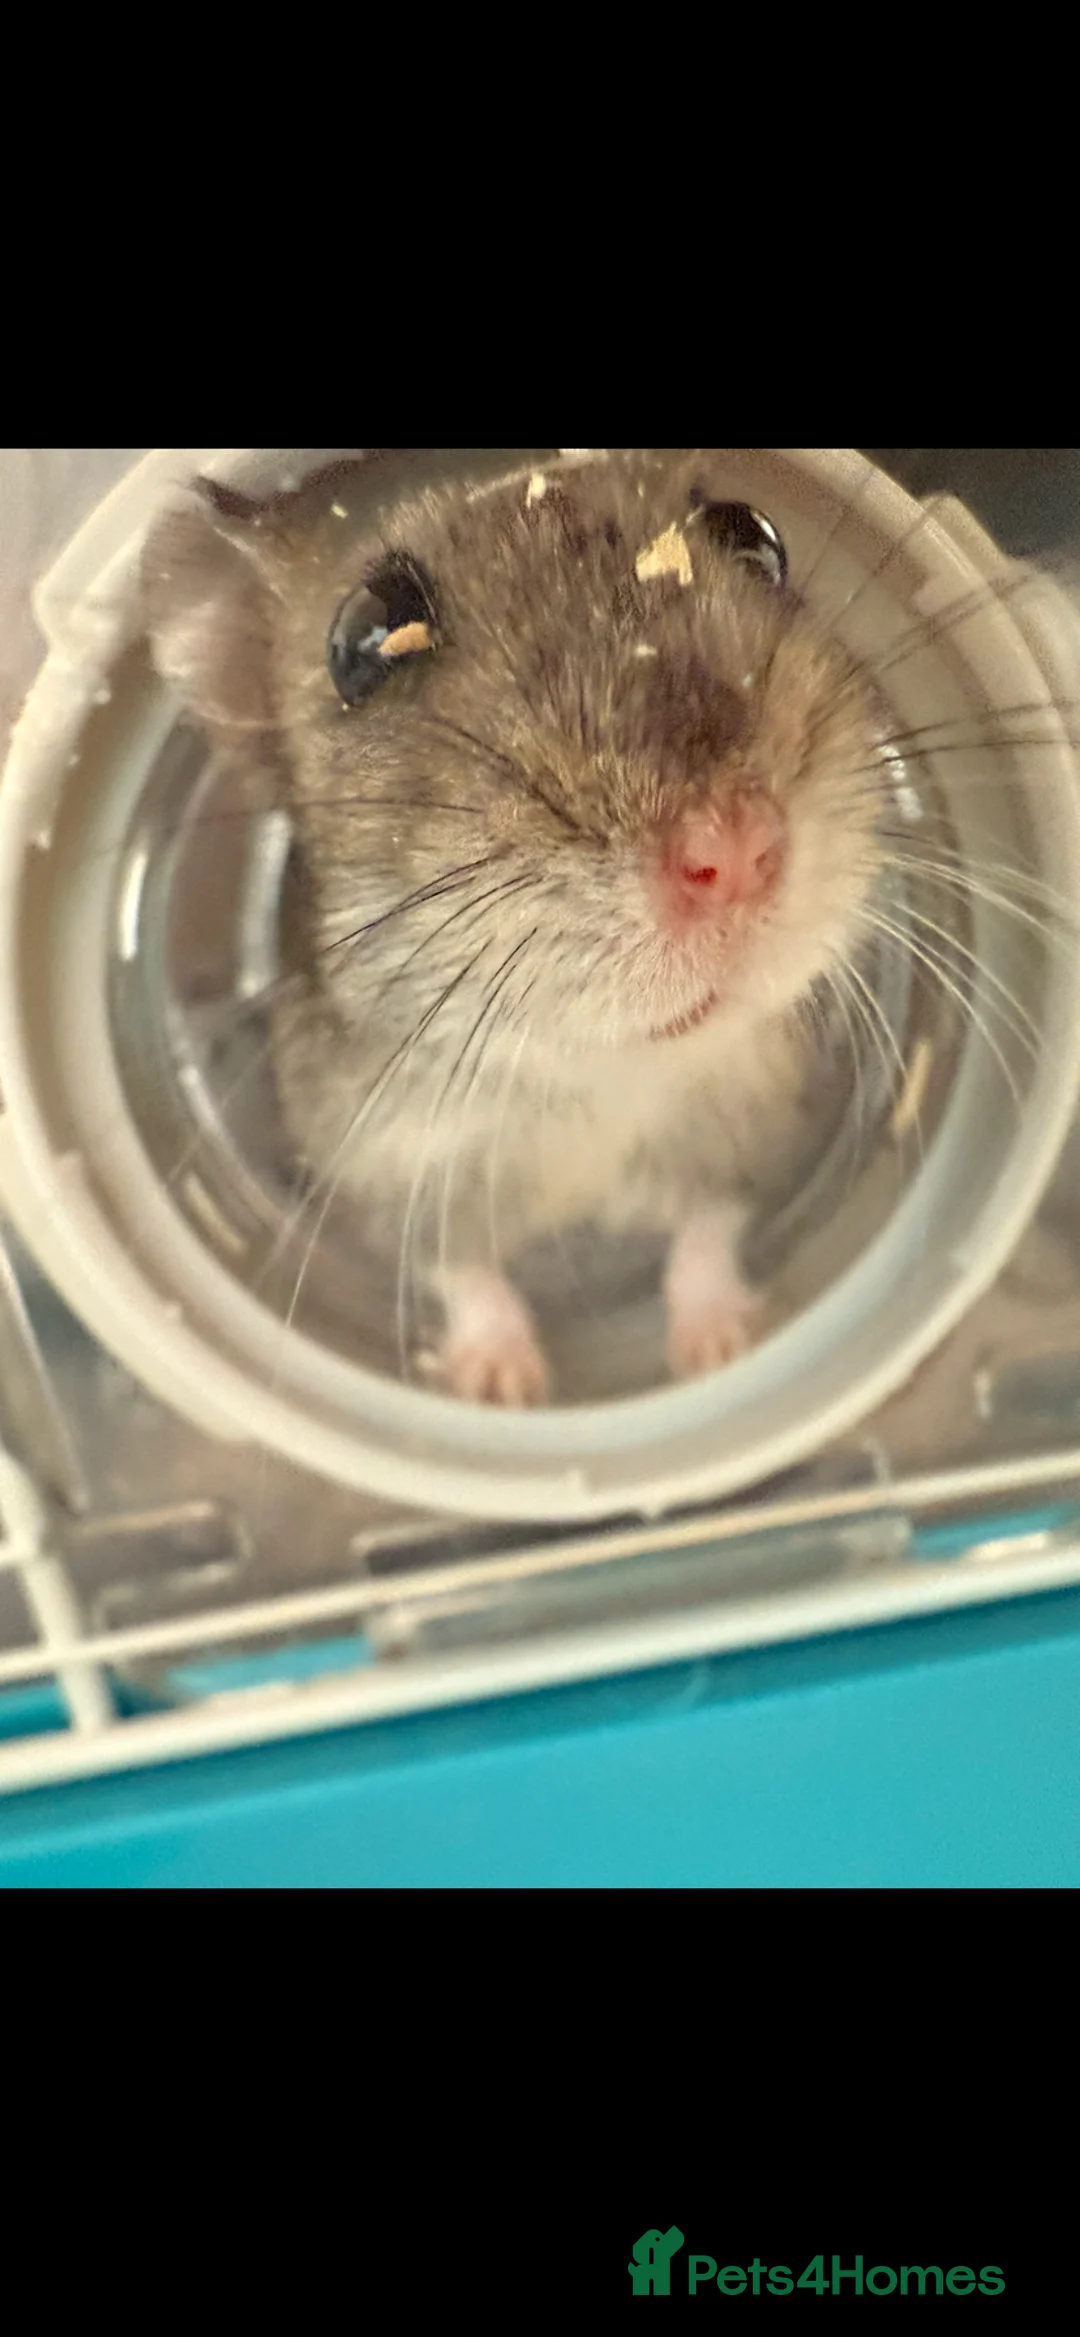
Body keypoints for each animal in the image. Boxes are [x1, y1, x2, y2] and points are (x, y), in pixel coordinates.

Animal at [140, 450, 884, 1404]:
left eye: (751, 537)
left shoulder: (754, 1119)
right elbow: (462, 1270)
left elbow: (709, 1225)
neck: (595, 1074)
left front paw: (720, 1347)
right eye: (365, 638)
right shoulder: (384, 1164)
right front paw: (505, 1386)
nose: (733, 850)